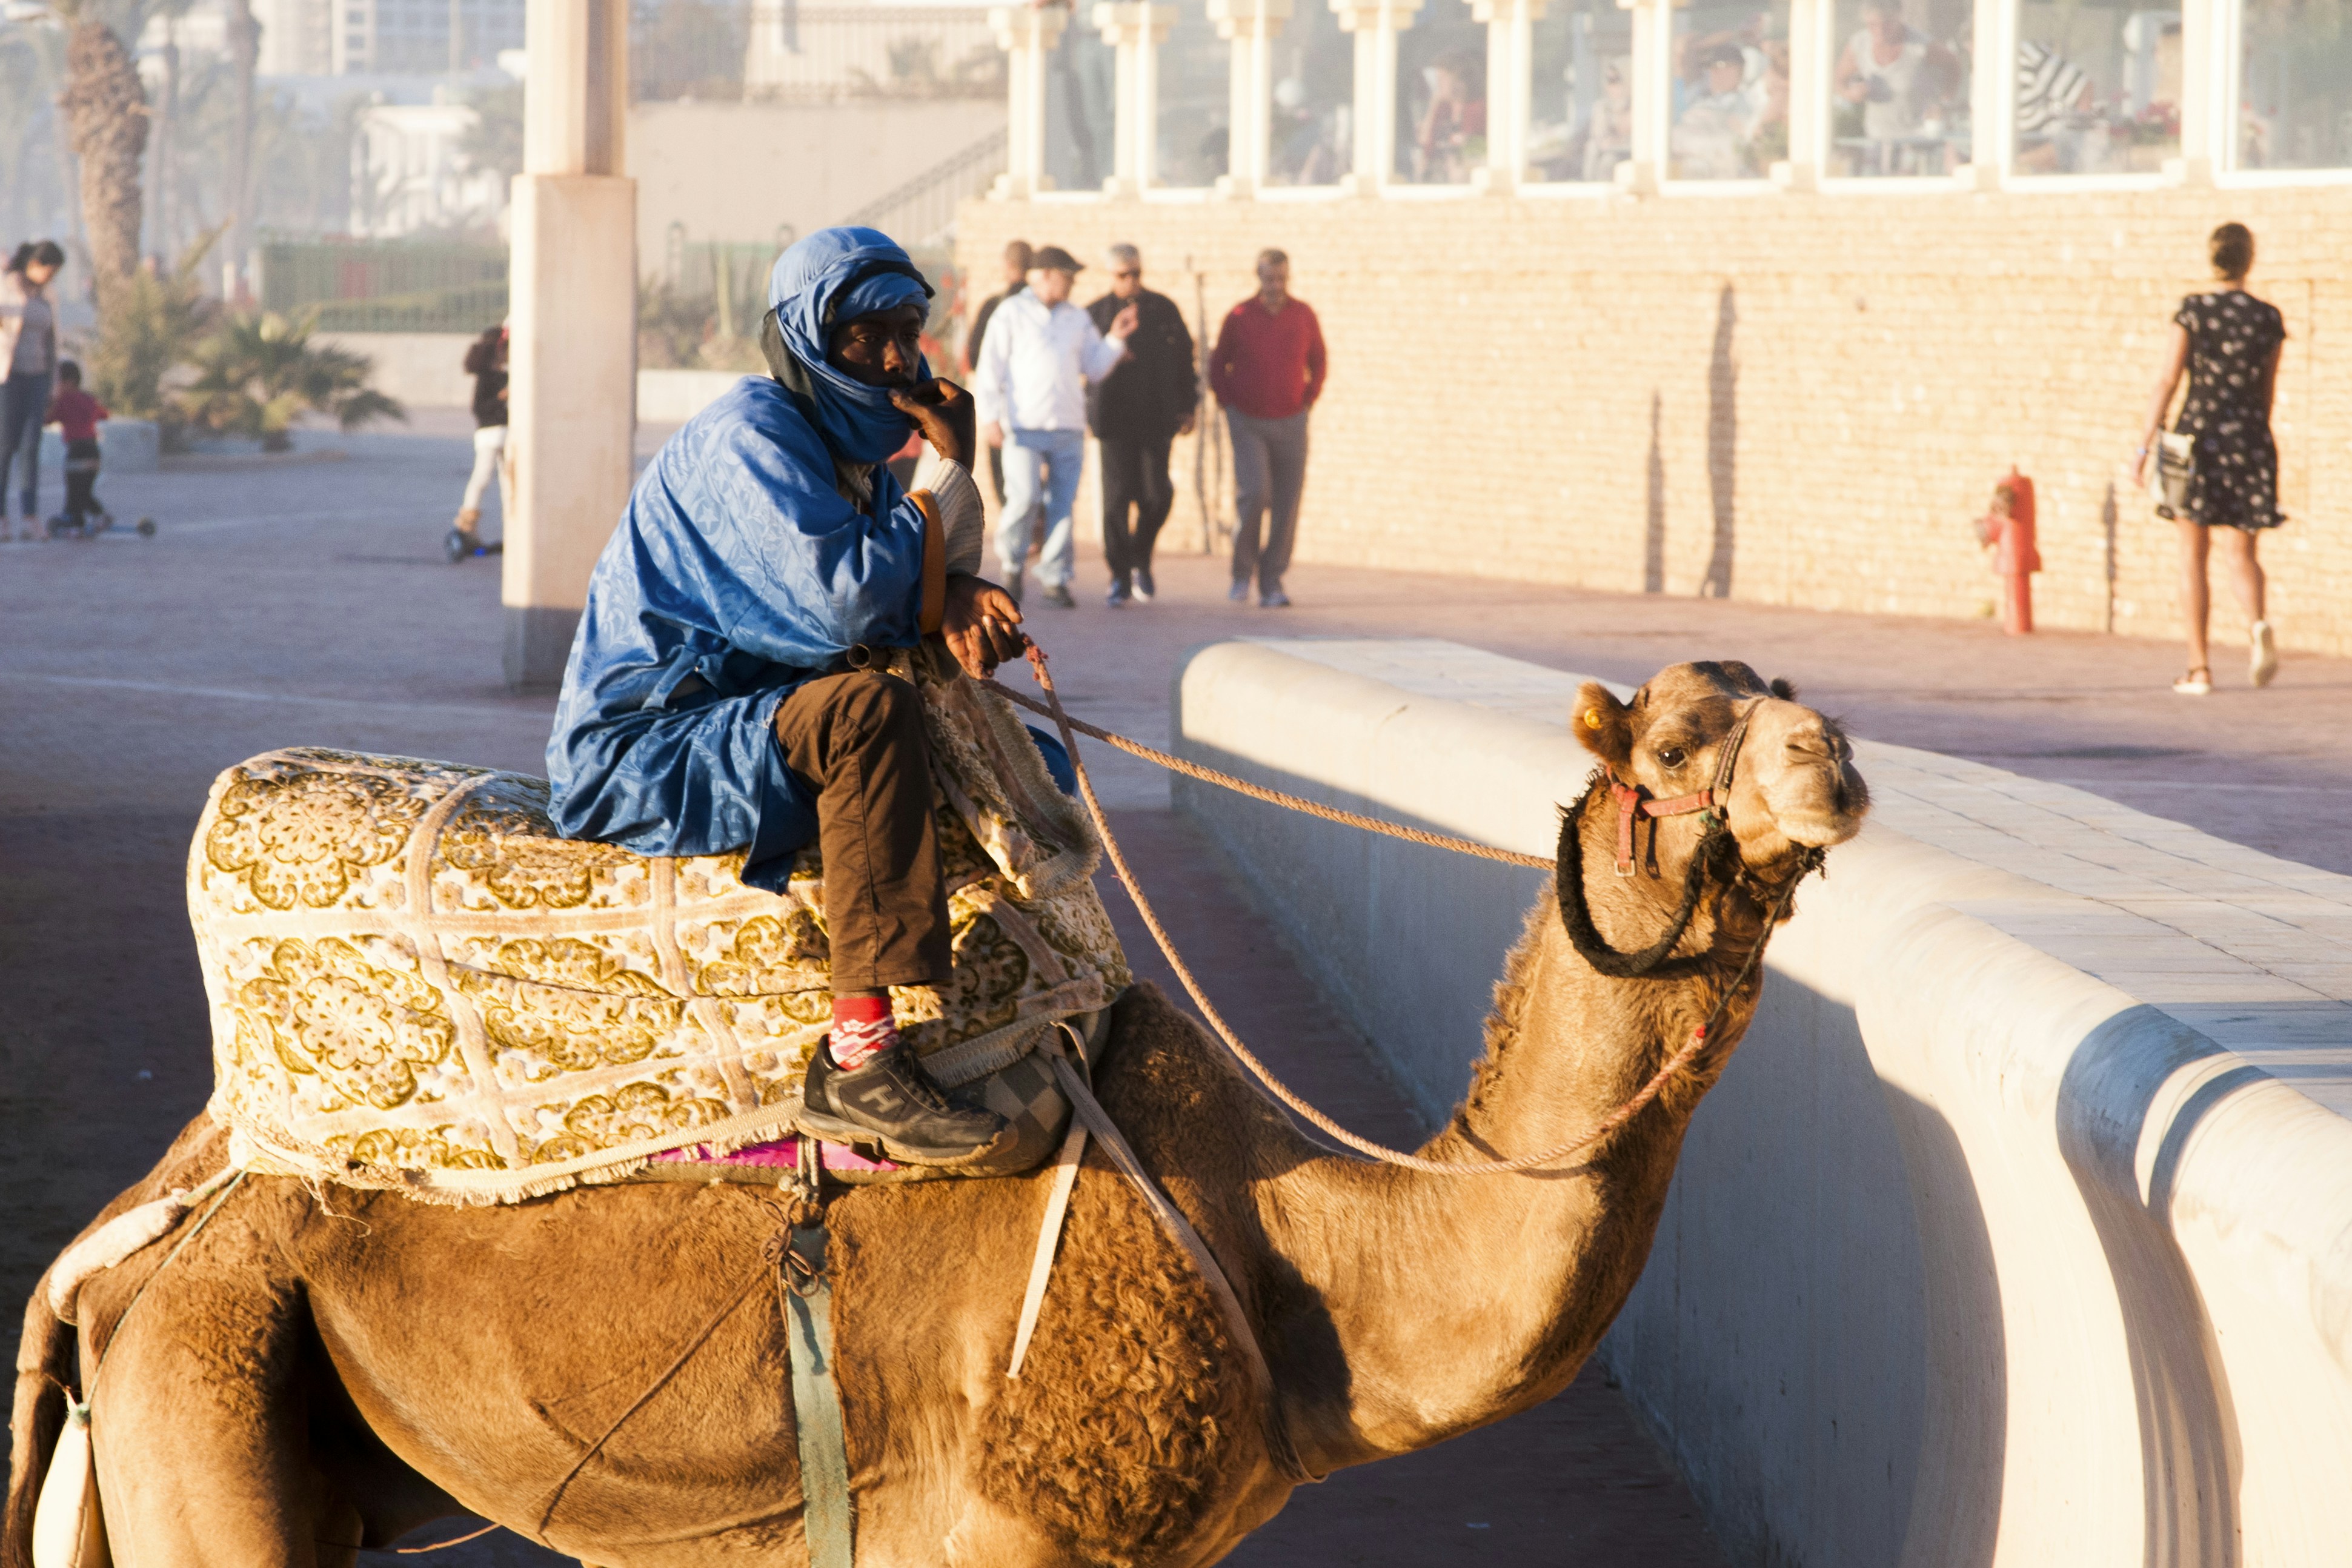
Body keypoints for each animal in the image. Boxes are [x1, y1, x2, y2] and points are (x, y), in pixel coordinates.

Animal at [7, 658, 1868, 1568]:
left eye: (1789, 703)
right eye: (1674, 744)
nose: (1836, 762)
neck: (1302, 1263)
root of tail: (138, 1231)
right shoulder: (1008, 1528)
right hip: (208, 1370)